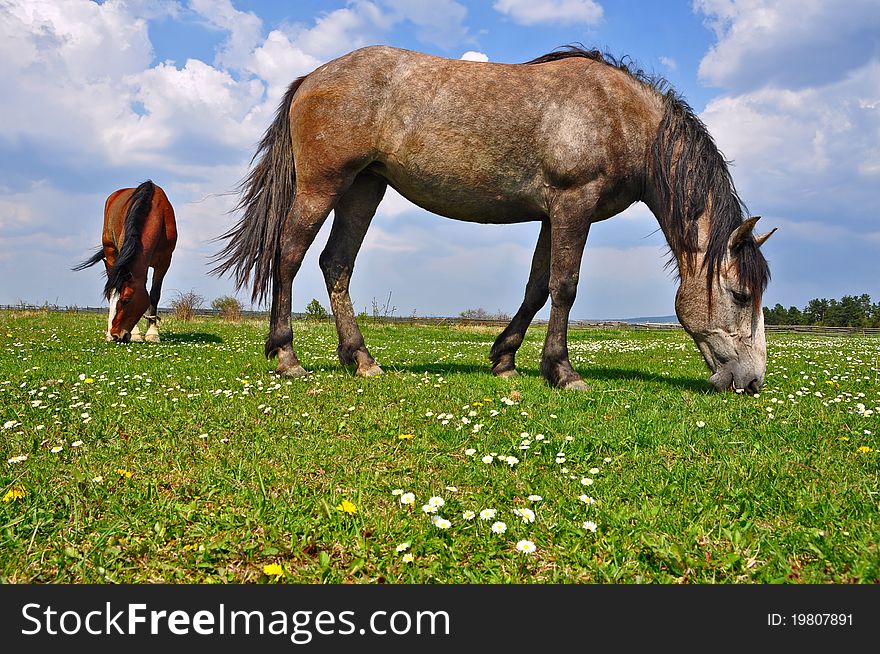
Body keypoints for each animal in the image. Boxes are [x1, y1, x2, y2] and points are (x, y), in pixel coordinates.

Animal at [75, 179, 179, 344]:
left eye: (126, 300)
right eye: (108, 298)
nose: (113, 335)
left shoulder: (164, 262)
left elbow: (154, 294)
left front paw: (152, 333)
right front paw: (136, 333)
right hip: (110, 251)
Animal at [213, 47, 776, 394]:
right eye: (740, 295)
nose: (752, 383)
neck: (619, 116)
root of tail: (313, 77)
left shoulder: (555, 215)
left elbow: (538, 288)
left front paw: (505, 360)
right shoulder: (574, 206)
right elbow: (565, 286)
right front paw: (562, 371)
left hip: (363, 189)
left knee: (336, 265)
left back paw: (362, 360)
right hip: (323, 185)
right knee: (289, 254)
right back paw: (287, 357)